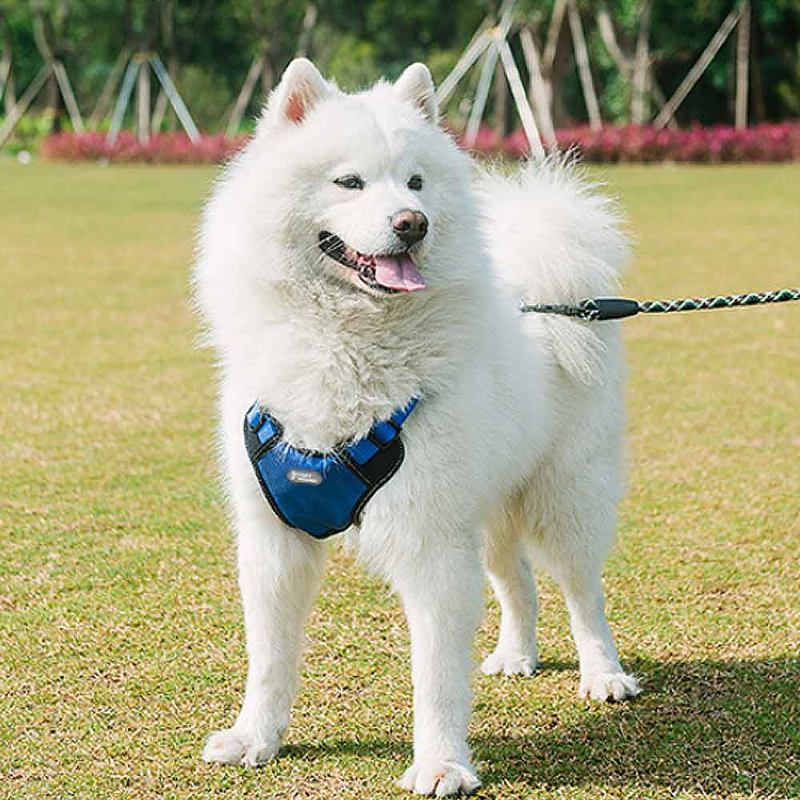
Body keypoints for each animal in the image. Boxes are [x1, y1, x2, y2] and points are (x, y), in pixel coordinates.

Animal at [195, 59, 644, 796]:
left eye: (415, 183)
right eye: (349, 182)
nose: (413, 223)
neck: (344, 342)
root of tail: (553, 298)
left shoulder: (431, 544)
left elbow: (434, 676)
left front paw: (441, 764)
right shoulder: (273, 542)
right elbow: (269, 659)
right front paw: (255, 738)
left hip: (563, 503)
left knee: (584, 596)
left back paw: (604, 675)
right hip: (487, 509)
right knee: (518, 581)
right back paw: (516, 654)